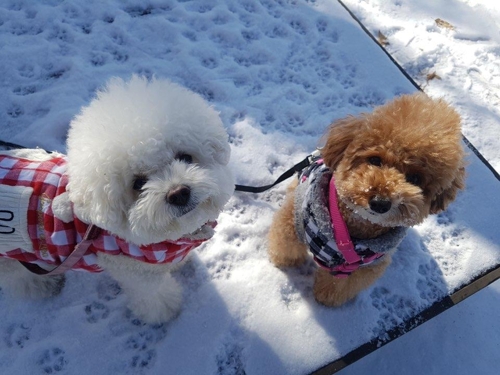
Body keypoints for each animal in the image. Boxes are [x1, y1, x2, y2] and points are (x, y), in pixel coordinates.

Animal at [0, 75, 234, 324]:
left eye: (185, 157)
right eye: (138, 183)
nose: (178, 193)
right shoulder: (138, 275)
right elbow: (153, 297)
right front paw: (164, 312)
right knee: (17, 277)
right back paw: (41, 286)